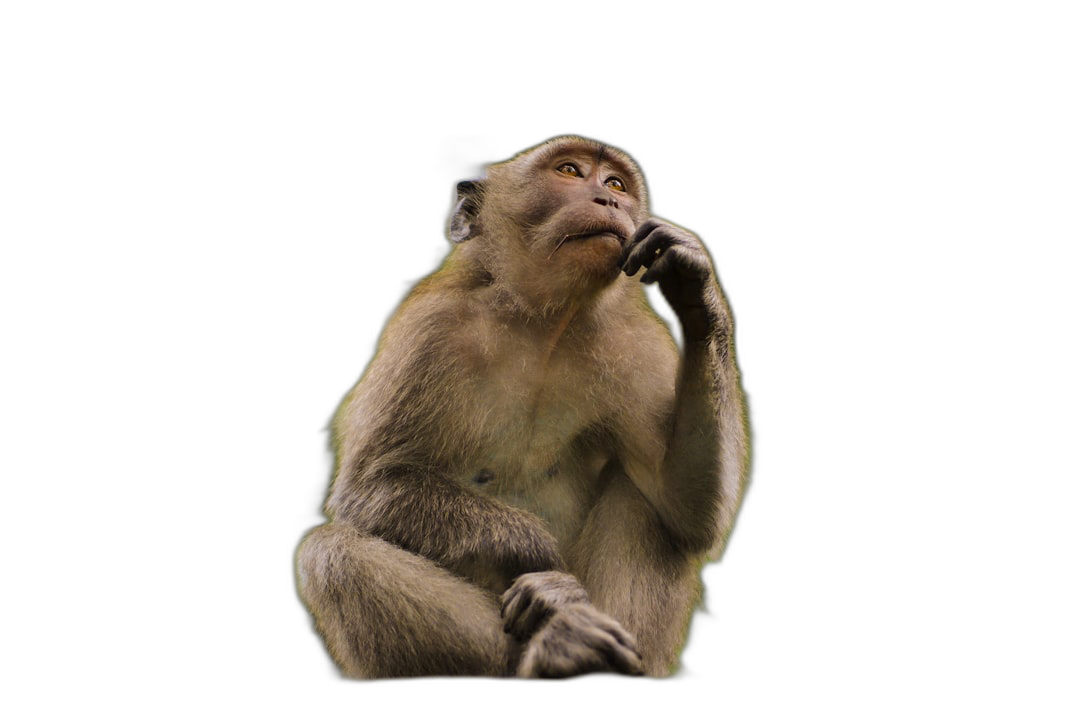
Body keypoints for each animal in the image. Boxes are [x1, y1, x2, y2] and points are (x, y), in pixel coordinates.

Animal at [295, 136, 751, 682]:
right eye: (570, 172)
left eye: (616, 183)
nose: (609, 200)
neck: (542, 325)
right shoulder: (430, 333)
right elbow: (371, 486)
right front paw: (546, 565)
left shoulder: (633, 347)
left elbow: (686, 507)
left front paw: (694, 284)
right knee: (332, 553)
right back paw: (560, 645)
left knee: (645, 501)